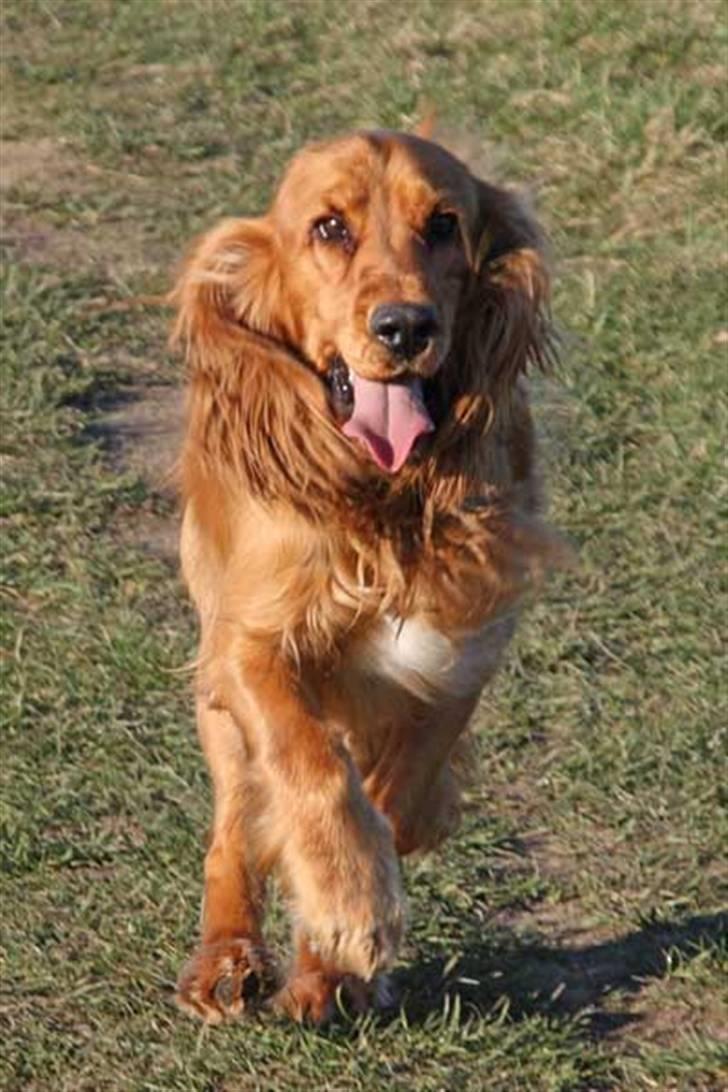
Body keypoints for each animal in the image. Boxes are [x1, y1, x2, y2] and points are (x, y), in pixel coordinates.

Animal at [171, 127, 563, 1022]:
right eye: (328, 228)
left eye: (445, 224)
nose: (405, 326)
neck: (386, 499)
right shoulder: (246, 642)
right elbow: (308, 761)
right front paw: (352, 903)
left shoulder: (466, 640)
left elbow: (399, 790)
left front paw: (335, 954)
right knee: (233, 822)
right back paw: (227, 960)